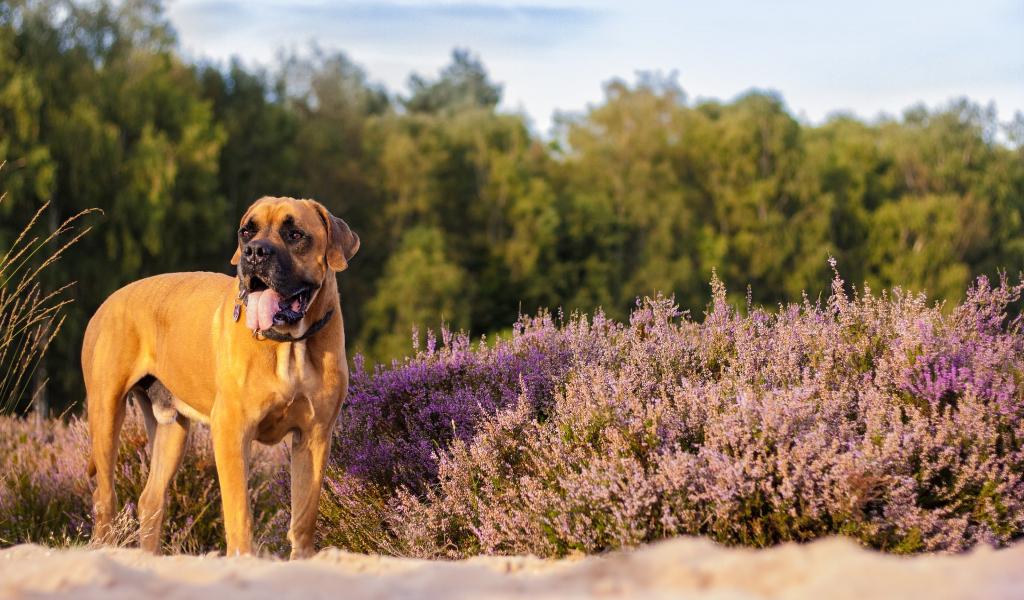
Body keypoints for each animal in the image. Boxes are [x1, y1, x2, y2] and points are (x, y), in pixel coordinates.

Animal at [80, 194, 360, 556]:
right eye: (246, 231)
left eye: (295, 234)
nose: (255, 252)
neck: (290, 346)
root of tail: (110, 299)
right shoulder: (231, 429)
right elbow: (239, 511)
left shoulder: (314, 436)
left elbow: (304, 515)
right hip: (106, 411)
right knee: (105, 497)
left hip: (171, 431)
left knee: (150, 499)